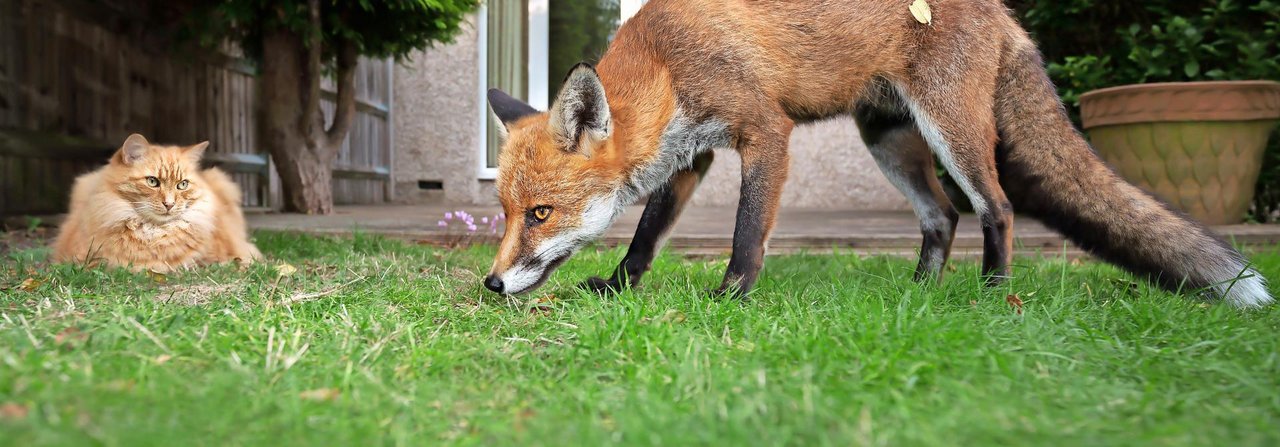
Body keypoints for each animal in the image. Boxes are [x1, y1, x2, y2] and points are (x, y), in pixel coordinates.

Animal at [481, 0, 1269, 306]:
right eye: (506, 211)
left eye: (541, 213)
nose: (489, 283)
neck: (668, 61)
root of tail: (1005, 14)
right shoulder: (690, 158)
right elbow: (643, 237)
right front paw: (616, 288)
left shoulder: (764, 131)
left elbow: (746, 233)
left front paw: (732, 296)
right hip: (887, 139)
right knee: (941, 217)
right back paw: (920, 292)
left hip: (952, 131)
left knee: (996, 207)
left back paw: (991, 293)